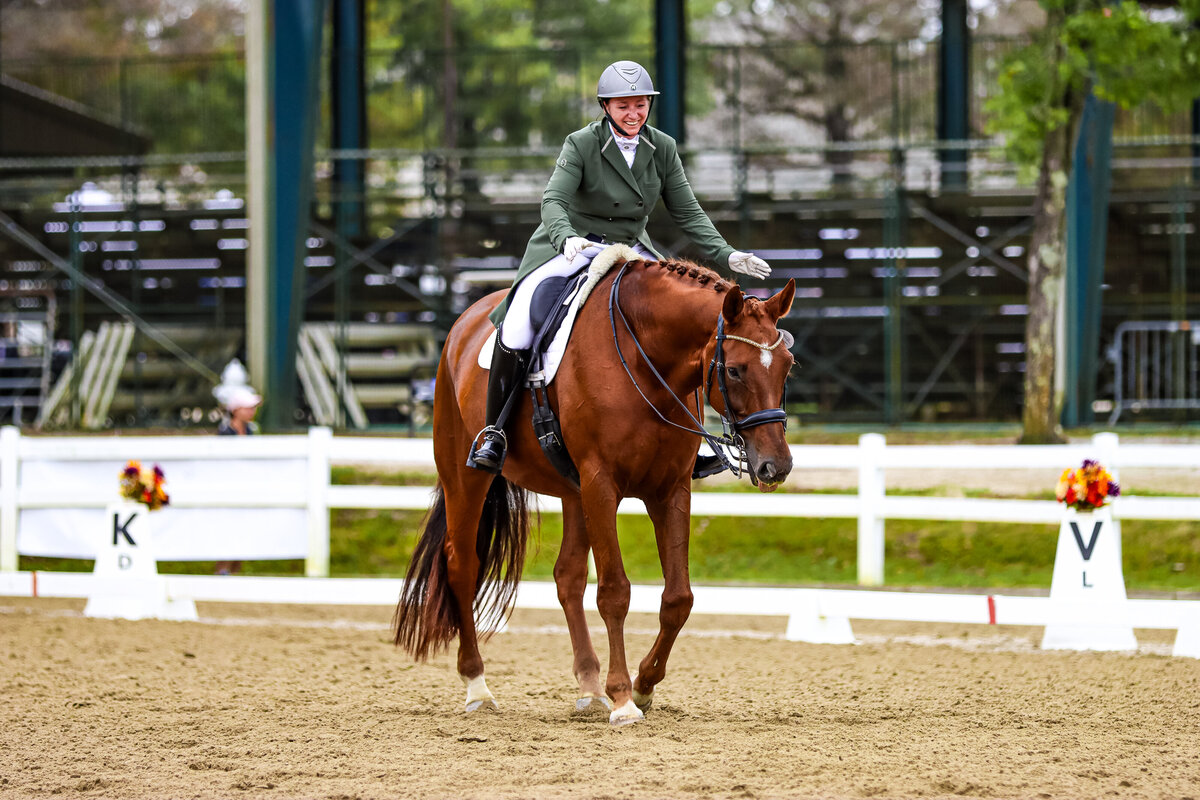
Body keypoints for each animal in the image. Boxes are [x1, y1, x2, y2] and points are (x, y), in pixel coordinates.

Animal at [393, 247, 796, 726]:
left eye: (788, 367)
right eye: (734, 370)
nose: (776, 466)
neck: (646, 360)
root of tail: (467, 320)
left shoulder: (669, 490)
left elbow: (678, 598)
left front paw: (643, 686)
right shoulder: (601, 483)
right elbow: (615, 592)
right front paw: (623, 698)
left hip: (573, 491)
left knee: (567, 576)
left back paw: (588, 688)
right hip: (467, 475)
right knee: (462, 564)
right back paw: (478, 686)